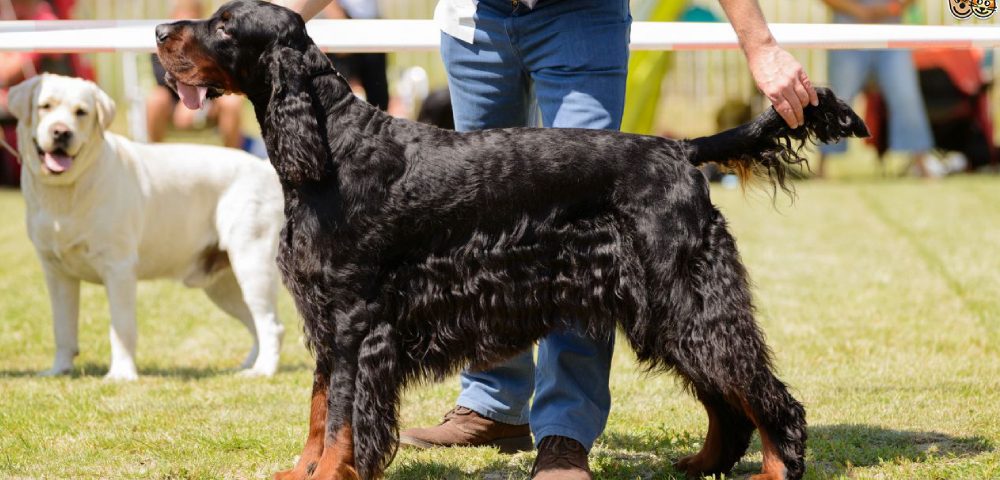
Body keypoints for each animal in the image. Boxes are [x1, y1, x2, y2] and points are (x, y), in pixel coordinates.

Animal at [9, 75, 286, 380]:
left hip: (252, 264)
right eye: (45, 106)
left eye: (81, 112)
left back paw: (263, 370)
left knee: (271, 324)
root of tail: (264, 168)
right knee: (255, 323)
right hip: (222, 285)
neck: (65, 192)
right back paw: (248, 365)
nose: (61, 132)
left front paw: (121, 374)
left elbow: (121, 328)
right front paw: (59, 370)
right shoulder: (56, 273)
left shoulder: (118, 268)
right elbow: (62, 328)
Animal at [156, 1, 868, 478]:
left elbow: (340, 419)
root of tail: (680, 150)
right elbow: (318, 405)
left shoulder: (357, 318)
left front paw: (331, 473)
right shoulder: (326, 317)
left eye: (224, 25)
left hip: (688, 301)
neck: (334, 146)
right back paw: (700, 464)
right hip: (666, 310)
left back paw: (774, 467)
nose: (161, 31)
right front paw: (301, 471)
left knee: (766, 398)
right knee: (727, 401)